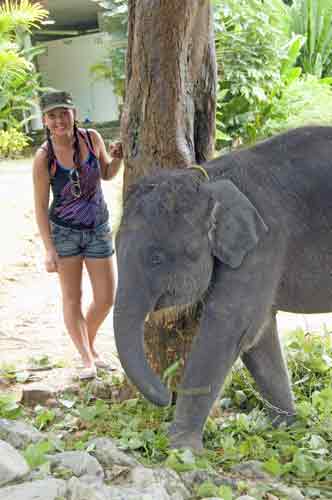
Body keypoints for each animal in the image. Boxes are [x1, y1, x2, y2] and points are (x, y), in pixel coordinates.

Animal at [114, 125, 332, 450]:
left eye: (156, 259)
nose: (166, 397)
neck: (207, 180)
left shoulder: (264, 244)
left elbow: (231, 326)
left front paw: (182, 449)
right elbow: (258, 336)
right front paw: (285, 430)